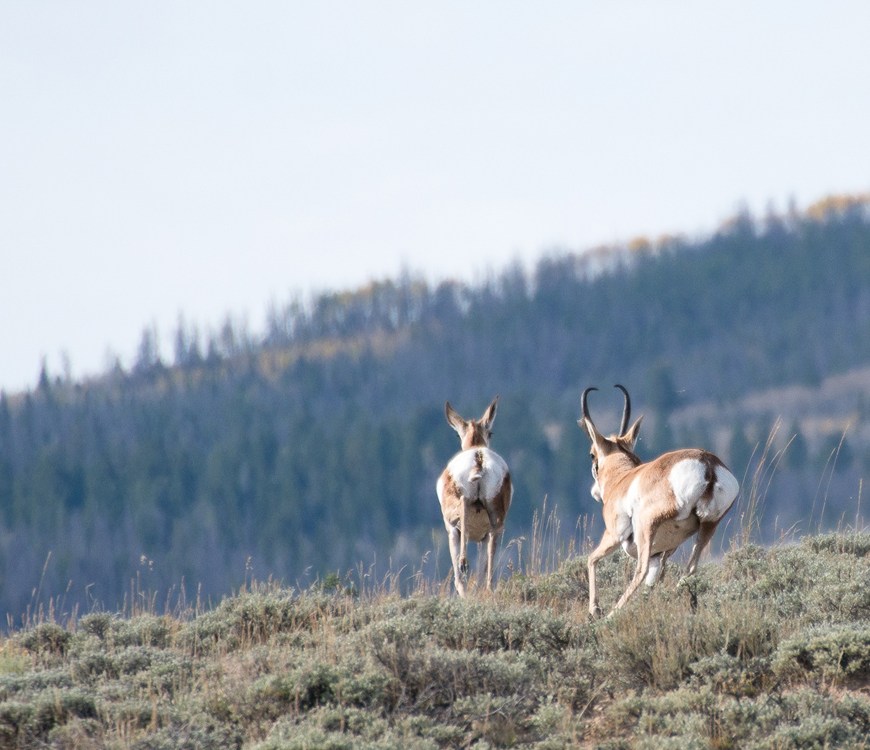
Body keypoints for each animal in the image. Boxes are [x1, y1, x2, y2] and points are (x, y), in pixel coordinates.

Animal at [436, 396, 513, 597]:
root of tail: (478, 458)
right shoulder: (483, 537)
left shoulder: (451, 531)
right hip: (496, 521)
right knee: (491, 557)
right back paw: (488, 587)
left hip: (456, 517)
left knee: (463, 508)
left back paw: (464, 564)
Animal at [579, 384, 739, 617]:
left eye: (592, 454)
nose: (594, 493)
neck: (623, 479)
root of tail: (708, 464)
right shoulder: (659, 553)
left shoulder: (614, 536)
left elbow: (591, 559)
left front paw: (595, 610)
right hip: (708, 527)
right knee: (690, 569)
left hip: (646, 526)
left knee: (640, 570)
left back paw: (612, 614)